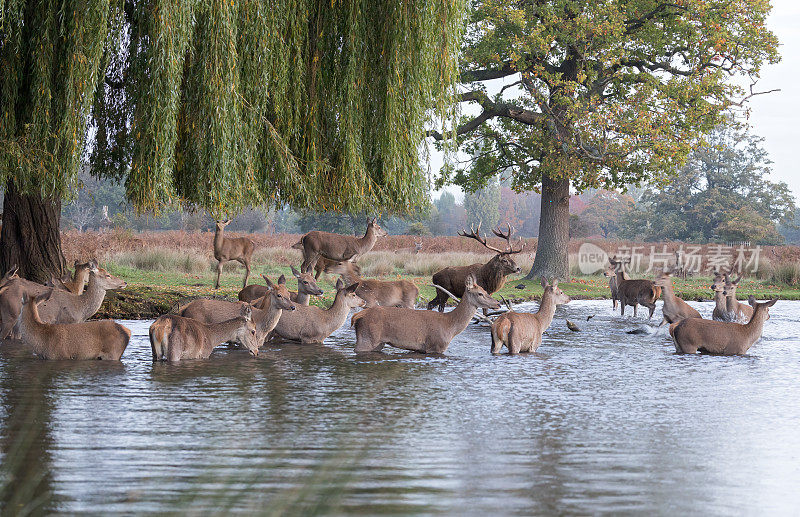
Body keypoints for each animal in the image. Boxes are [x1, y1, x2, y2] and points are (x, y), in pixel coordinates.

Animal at [352, 272, 496, 352]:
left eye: (485, 290)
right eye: (480, 293)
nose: (497, 303)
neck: (450, 327)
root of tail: (356, 316)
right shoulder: (436, 346)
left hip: (378, 343)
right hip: (367, 338)